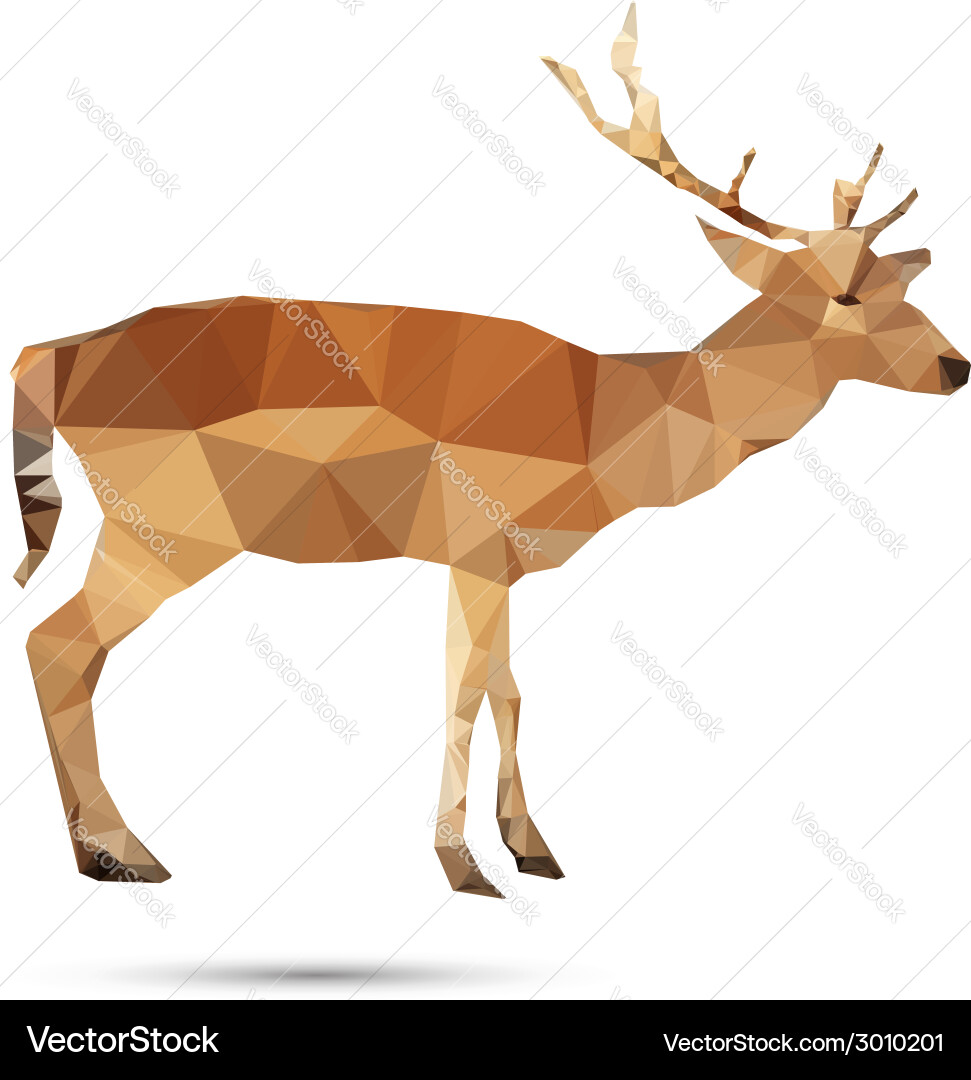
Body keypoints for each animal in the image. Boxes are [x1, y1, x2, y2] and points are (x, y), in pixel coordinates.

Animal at [11, 4, 967, 897]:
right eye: (843, 295)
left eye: (902, 287)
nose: (956, 366)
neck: (605, 426)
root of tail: (47, 356)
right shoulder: (471, 545)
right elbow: (463, 689)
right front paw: (462, 866)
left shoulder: (504, 563)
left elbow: (509, 688)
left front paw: (533, 850)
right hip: (165, 529)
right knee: (57, 646)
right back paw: (126, 856)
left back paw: (104, 853)